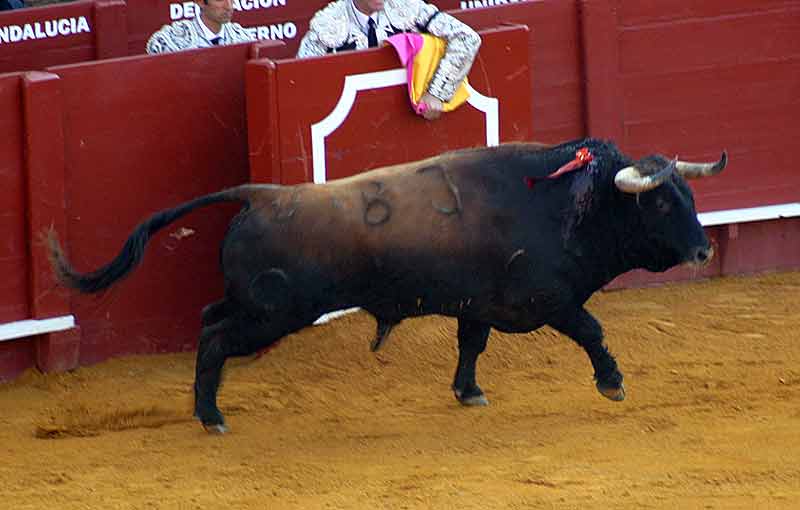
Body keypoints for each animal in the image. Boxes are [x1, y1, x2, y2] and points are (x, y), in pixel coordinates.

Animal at [48, 137, 724, 432]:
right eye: (660, 204)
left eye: (690, 196)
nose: (703, 248)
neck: (565, 204)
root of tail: (260, 194)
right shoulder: (548, 299)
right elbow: (591, 328)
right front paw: (612, 383)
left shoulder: (476, 304)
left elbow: (470, 346)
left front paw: (468, 393)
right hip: (273, 313)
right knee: (215, 338)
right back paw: (211, 416)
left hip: (256, 305)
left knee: (210, 321)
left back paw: (202, 408)